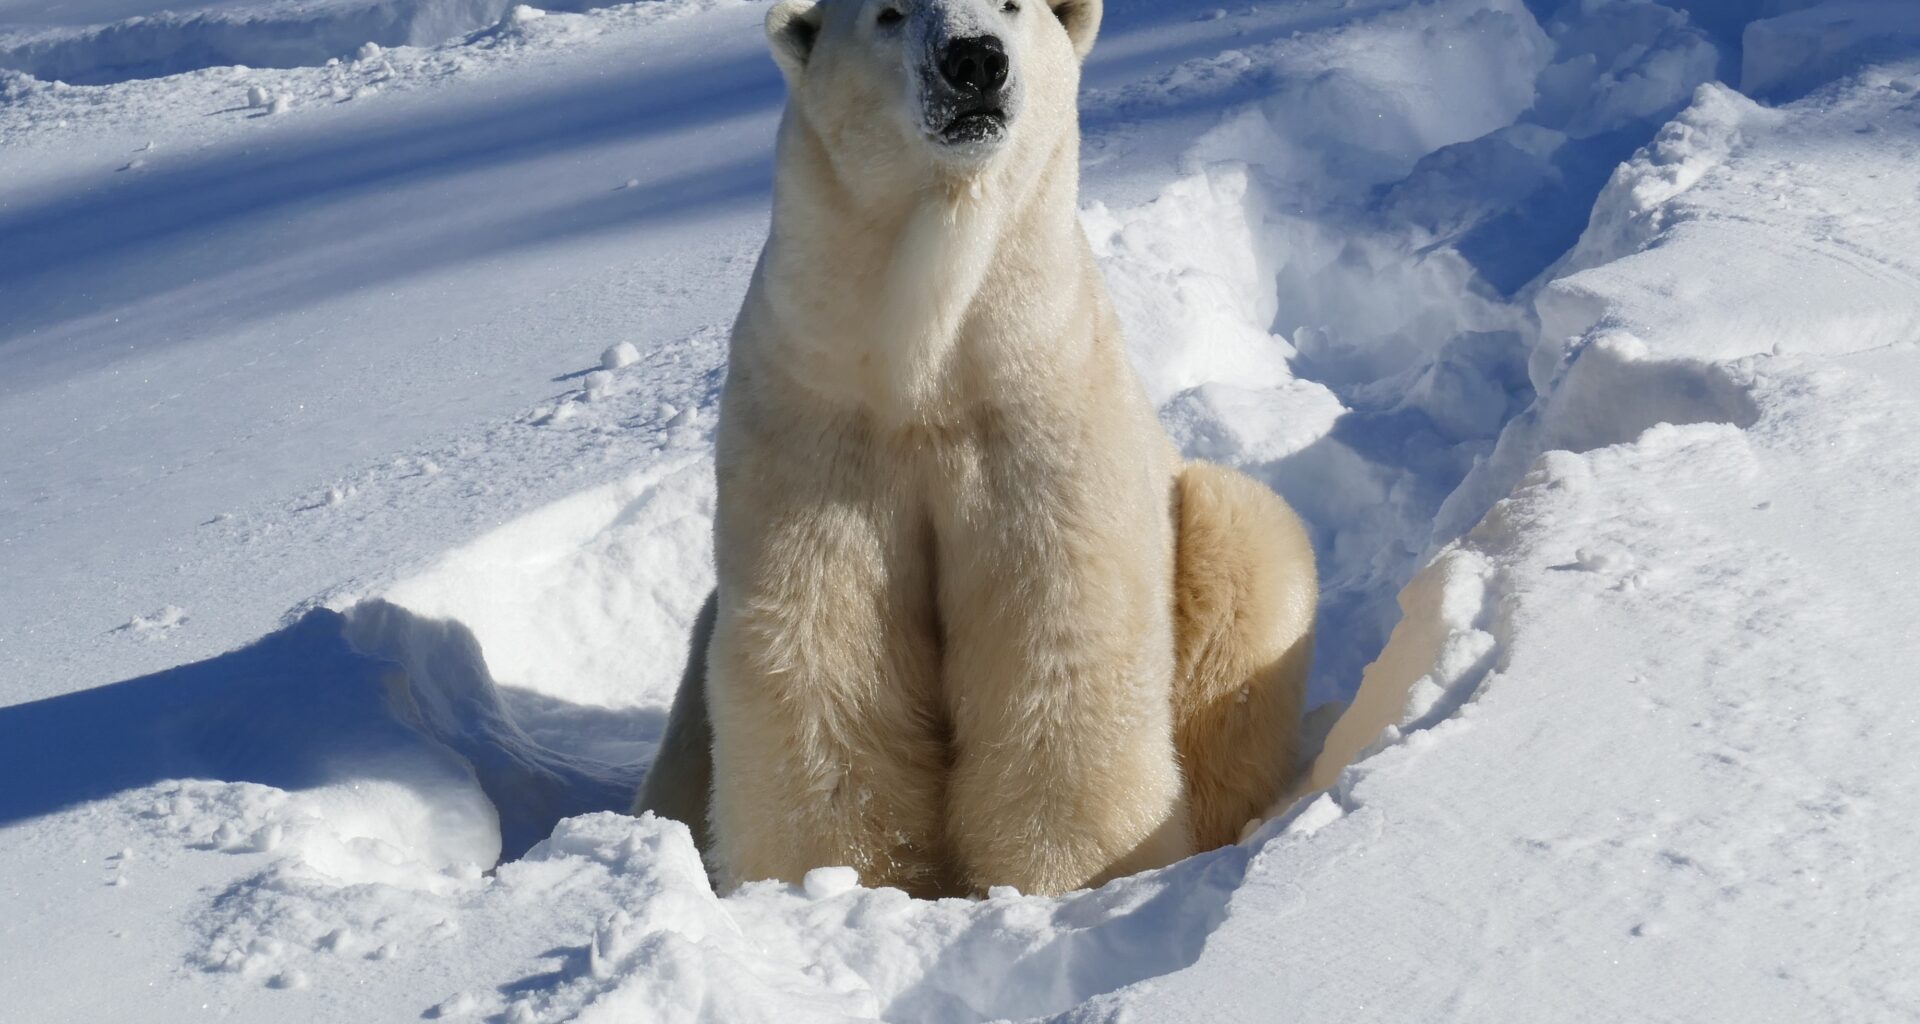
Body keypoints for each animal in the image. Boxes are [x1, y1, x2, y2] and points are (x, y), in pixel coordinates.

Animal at [633, 0, 1317, 898]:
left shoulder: (1035, 407)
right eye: (888, 13)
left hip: (1217, 541)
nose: (974, 62)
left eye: (1013, 5)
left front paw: (1077, 877)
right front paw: (832, 880)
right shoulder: (819, 419)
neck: (926, 367)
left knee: (1245, 549)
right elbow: (820, 648)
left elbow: (1056, 635)